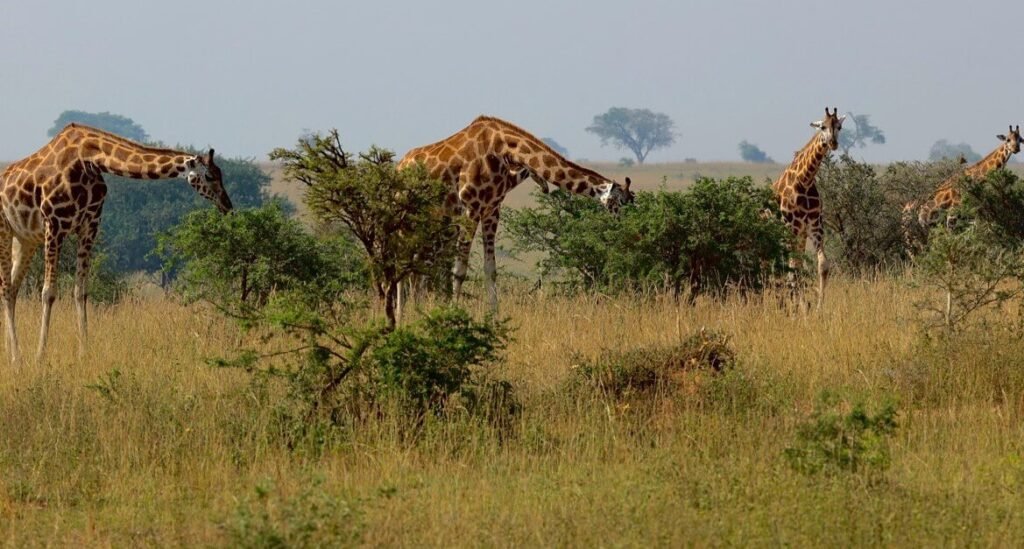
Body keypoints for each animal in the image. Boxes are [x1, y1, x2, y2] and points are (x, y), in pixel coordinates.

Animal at [0, 123, 233, 364]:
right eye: (209, 175)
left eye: (220, 174)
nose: (227, 205)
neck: (89, 159)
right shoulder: (54, 225)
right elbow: (48, 293)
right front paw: (40, 355)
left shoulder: (90, 227)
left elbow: (80, 291)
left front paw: (84, 351)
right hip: (5, 230)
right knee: (6, 289)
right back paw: (16, 357)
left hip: (25, 239)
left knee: (12, 288)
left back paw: (10, 352)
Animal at [397, 115, 633, 313]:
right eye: (620, 203)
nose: (625, 229)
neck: (504, 149)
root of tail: (399, 166)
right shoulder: (471, 207)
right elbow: (459, 270)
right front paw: (453, 314)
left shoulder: (492, 209)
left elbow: (490, 270)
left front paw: (495, 317)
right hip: (409, 218)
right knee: (403, 262)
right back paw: (400, 317)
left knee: (415, 264)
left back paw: (412, 312)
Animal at [772, 107, 846, 309]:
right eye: (822, 127)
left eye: (839, 127)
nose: (833, 143)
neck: (804, 181)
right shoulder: (791, 226)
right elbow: (794, 268)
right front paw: (802, 306)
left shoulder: (814, 226)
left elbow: (822, 265)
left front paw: (818, 307)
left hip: (800, 235)